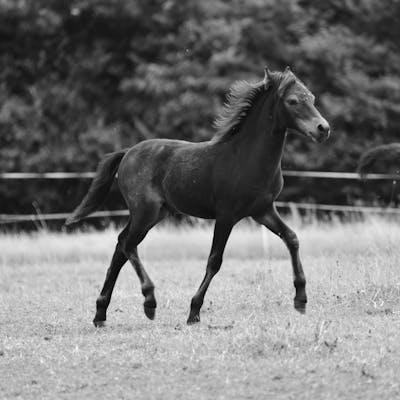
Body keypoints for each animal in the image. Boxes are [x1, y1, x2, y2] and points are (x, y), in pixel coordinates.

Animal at [67, 67, 332, 326]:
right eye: (293, 101)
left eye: (312, 98)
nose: (323, 129)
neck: (246, 158)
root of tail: (128, 152)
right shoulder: (226, 215)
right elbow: (215, 260)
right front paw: (194, 312)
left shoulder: (263, 210)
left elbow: (292, 239)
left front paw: (301, 299)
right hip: (145, 211)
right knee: (127, 244)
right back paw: (149, 301)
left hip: (155, 213)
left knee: (121, 246)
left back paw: (100, 314)